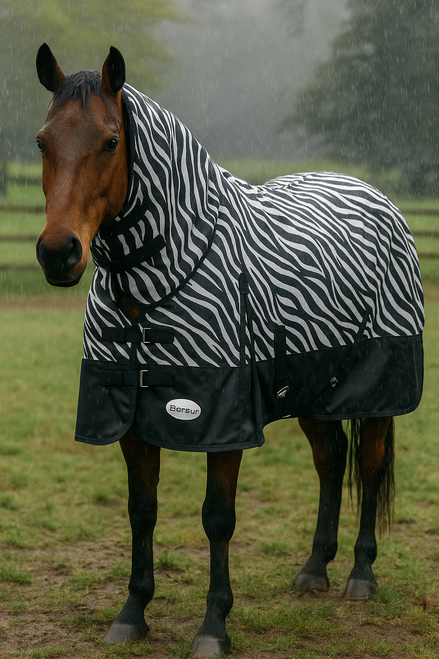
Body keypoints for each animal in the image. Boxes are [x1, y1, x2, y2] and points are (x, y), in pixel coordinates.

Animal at [35, 44, 424, 658]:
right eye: (42, 141)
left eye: (111, 141)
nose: (58, 253)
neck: (150, 291)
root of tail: (375, 196)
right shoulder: (130, 415)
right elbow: (141, 512)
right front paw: (132, 613)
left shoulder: (224, 420)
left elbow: (218, 518)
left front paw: (214, 625)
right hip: (313, 387)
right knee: (331, 459)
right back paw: (315, 569)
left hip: (378, 388)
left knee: (367, 461)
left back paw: (361, 575)